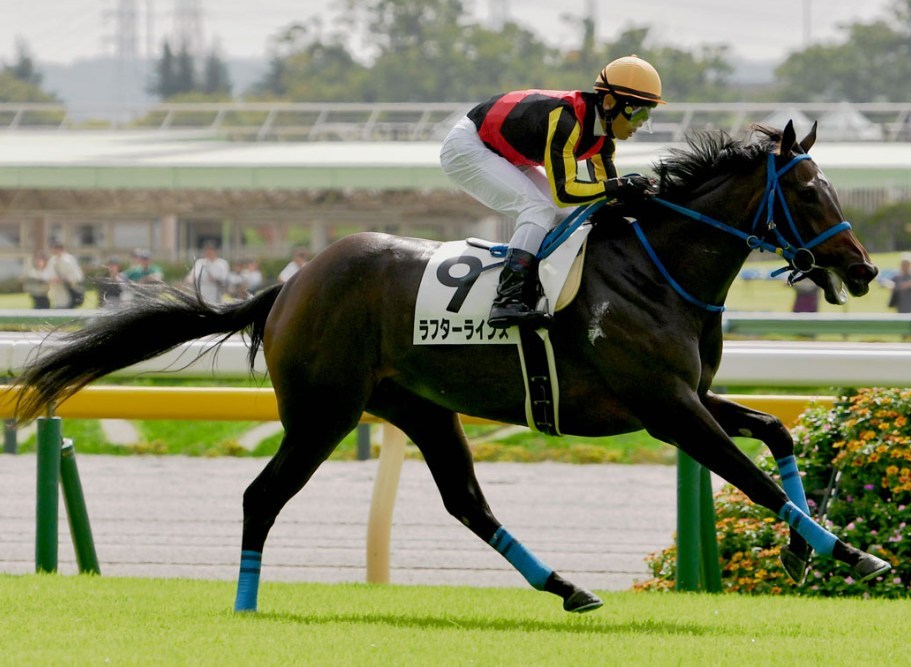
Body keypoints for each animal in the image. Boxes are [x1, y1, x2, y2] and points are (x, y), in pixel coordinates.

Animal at [15, 120, 891, 614]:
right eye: (807, 192)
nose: (862, 269)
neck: (652, 268)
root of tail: (289, 283)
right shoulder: (664, 405)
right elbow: (746, 473)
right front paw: (851, 554)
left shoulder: (689, 393)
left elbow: (775, 430)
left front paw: (800, 543)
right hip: (323, 411)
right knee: (262, 494)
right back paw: (244, 602)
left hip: (419, 406)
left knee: (466, 500)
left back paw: (568, 587)